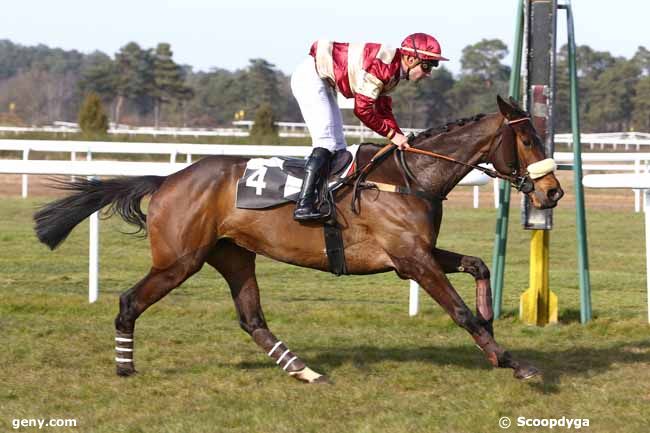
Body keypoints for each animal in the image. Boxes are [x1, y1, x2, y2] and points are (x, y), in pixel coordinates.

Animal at [34, 94, 560, 382]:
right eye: (528, 139)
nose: (552, 191)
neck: (410, 177)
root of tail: (166, 180)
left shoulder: (418, 254)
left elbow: (478, 265)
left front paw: (492, 319)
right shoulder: (412, 259)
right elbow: (459, 311)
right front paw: (512, 361)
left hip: (233, 256)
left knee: (252, 319)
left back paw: (304, 371)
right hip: (179, 260)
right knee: (129, 301)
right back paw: (124, 366)